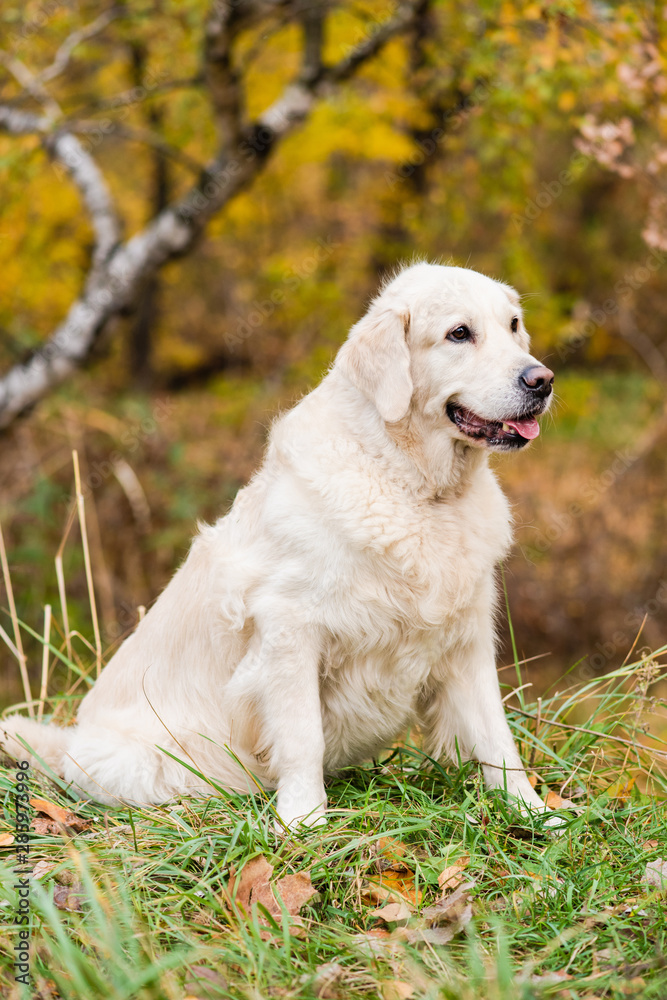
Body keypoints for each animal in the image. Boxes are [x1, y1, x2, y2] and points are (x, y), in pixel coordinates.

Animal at [1, 260, 560, 828]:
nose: (542, 381)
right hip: (141, 763)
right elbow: (301, 735)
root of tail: (69, 744)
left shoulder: (467, 638)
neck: (418, 489)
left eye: (513, 325)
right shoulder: (290, 630)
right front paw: (303, 819)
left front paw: (533, 812)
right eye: (459, 333)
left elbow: (497, 736)